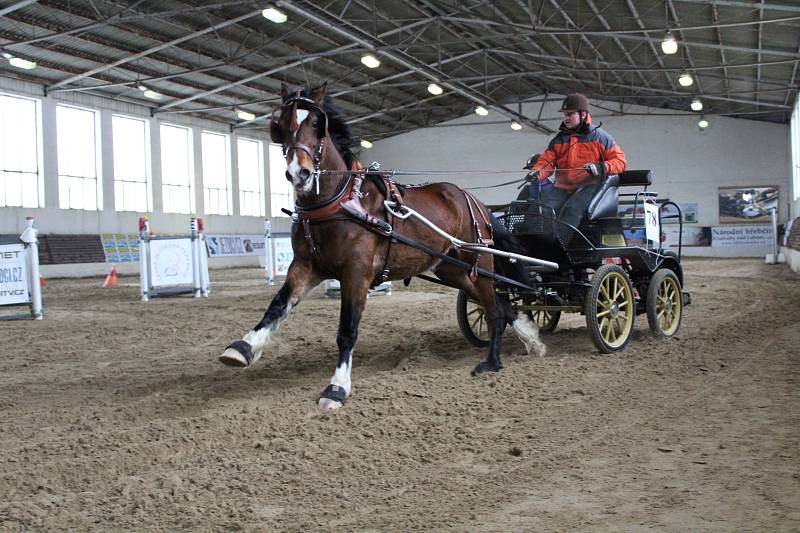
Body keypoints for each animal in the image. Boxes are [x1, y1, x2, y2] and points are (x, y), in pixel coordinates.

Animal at [219, 82, 544, 408]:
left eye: (315, 122)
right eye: (284, 124)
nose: (300, 173)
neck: (339, 202)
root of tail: (472, 199)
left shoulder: (356, 273)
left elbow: (347, 330)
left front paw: (337, 388)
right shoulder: (305, 267)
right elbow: (277, 306)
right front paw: (242, 348)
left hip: (477, 261)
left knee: (494, 310)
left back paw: (492, 362)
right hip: (454, 269)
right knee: (499, 304)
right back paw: (532, 340)